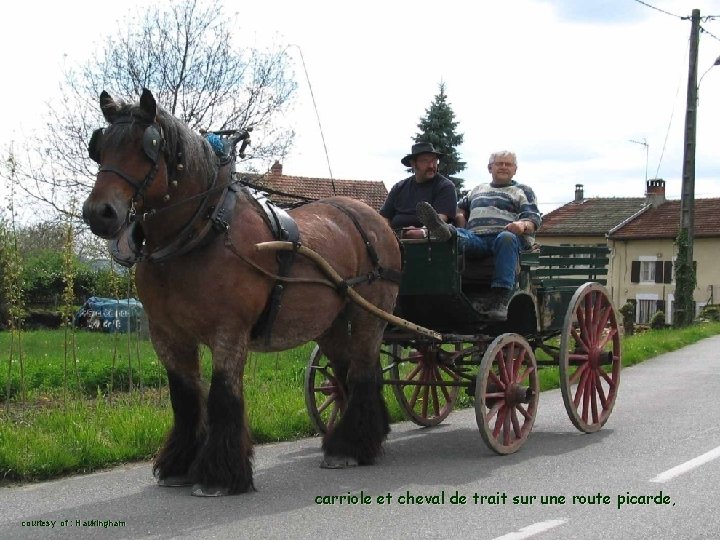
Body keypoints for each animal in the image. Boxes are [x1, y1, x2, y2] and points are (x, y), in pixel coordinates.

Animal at [83, 89, 404, 498]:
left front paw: (219, 476)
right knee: (349, 373)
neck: (202, 233)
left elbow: (222, 394)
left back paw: (349, 447)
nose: (99, 212)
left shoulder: (229, 331)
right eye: (100, 146)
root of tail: (374, 220)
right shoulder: (167, 334)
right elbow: (184, 396)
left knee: (363, 372)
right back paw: (359, 440)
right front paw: (179, 465)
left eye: (148, 146)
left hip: (369, 314)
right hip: (330, 325)